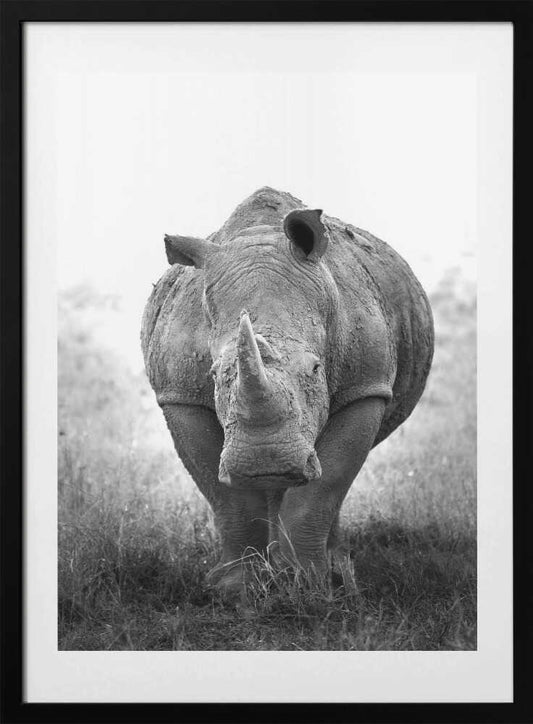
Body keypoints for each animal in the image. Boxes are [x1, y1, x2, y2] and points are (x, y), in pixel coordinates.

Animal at [141, 187, 434, 594]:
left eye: (315, 369)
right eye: (214, 375)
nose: (266, 462)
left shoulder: (366, 387)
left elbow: (324, 486)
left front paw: (312, 585)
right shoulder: (179, 394)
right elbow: (226, 495)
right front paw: (235, 587)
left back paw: (334, 569)